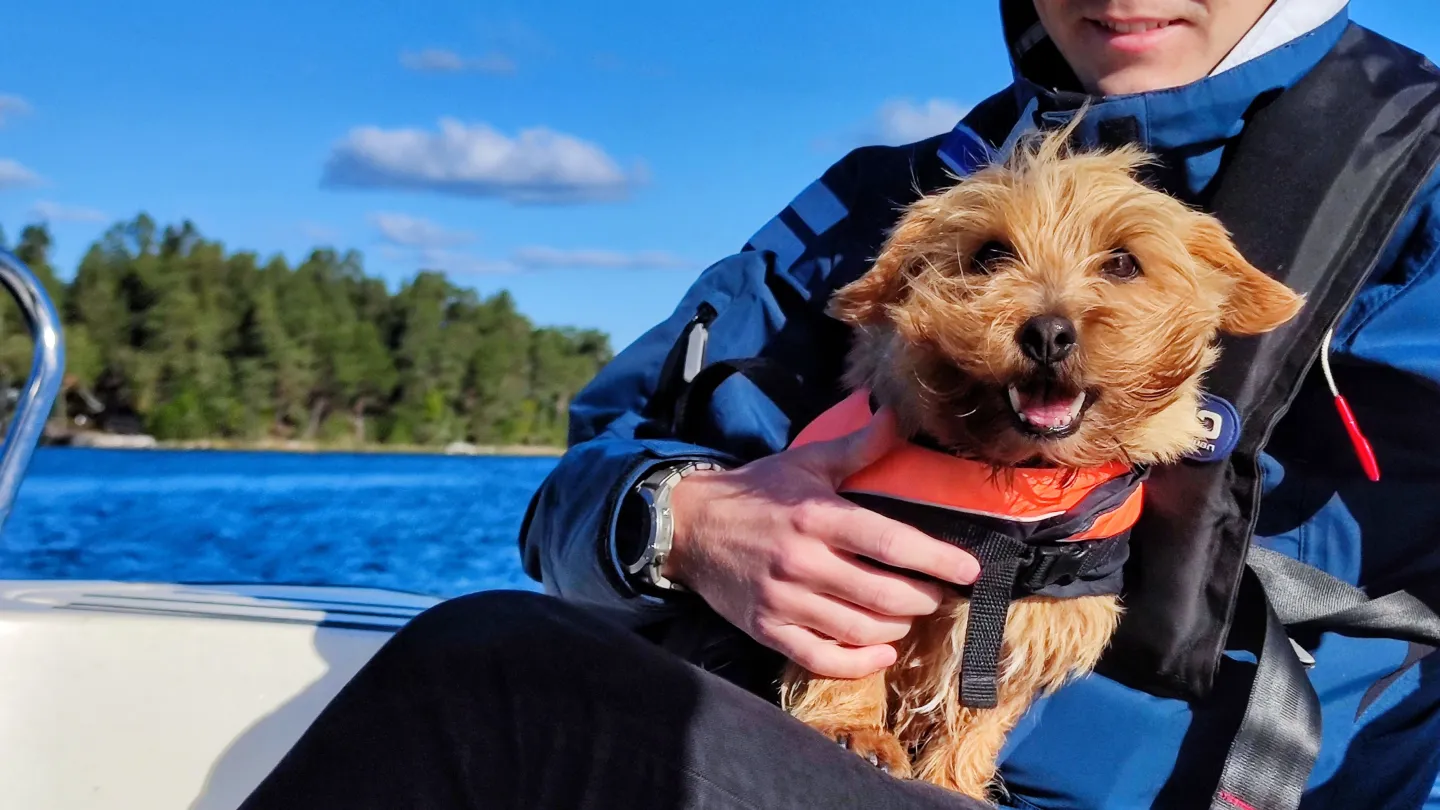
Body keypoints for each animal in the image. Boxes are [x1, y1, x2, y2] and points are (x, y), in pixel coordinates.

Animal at [783, 128, 1313, 795]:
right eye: (990, 254)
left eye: (1123, 262)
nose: (1048, 333)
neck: (1018, 486)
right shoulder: (857, 558)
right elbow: (853, 647)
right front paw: (851, 727)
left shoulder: (1039, 618)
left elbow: (982, 716)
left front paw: (952, 783)